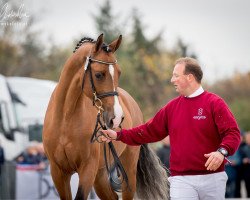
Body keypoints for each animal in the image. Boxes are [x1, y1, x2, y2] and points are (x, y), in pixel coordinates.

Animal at [42, 33, 168, 199]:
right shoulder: (58, 172)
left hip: (127, 172)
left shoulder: (87, 169)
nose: (117, 118)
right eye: (98, 74)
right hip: (100, 175)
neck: (65, 119)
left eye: (119, 72)